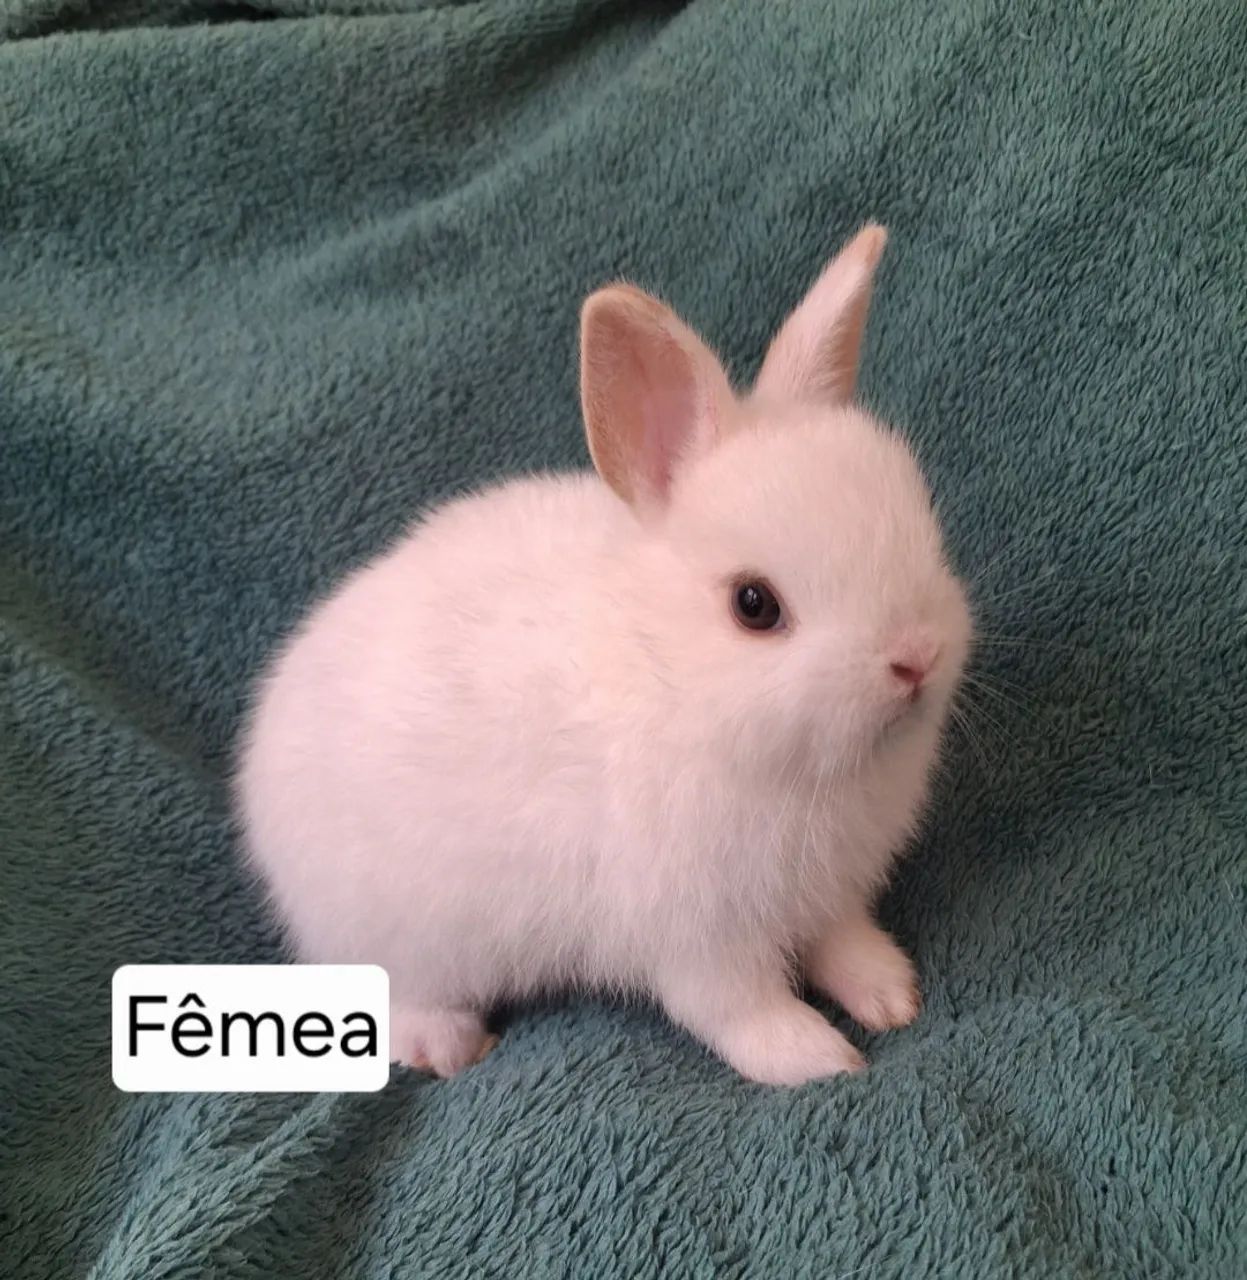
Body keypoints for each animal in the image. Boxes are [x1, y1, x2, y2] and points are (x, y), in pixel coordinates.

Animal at [235, 225, 973, 1086]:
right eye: (754, 605)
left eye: (923, 531)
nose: (915, 658)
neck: (670, 681)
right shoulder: (697, 938)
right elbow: (737, 1010)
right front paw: (817, 1058)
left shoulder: (828, 897)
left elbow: (841, 944)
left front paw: (891, 995)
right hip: (395, 935)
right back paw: (447, 1047)